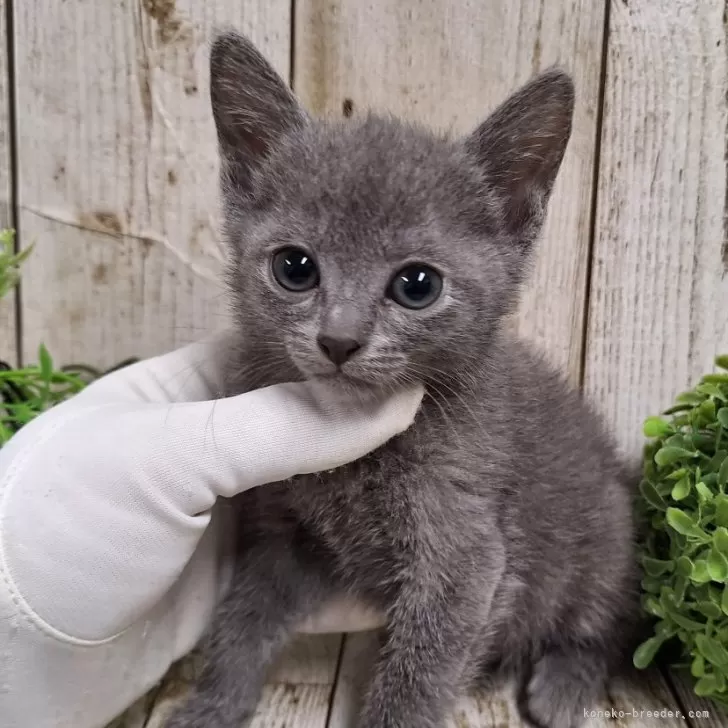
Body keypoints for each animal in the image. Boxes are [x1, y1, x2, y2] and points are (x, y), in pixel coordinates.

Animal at [168, 29, 640, 728]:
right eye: (294, 268)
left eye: (417, 285)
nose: (339, 339)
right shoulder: (289, 534)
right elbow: (244, 617)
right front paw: (213, 703)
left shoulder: (464, 554)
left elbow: (420, 676)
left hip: (604, 542)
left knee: (605, 623)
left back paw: (564, 683)